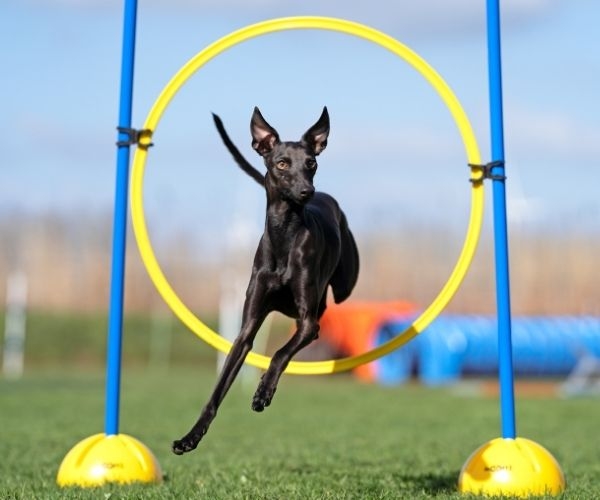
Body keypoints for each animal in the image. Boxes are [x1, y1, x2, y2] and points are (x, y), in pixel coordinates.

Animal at [172, 107, 359, 455]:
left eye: (311, 163)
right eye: (282, 163)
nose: (307, 192)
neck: (285, 233)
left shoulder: (308, 324)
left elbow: (280, 353)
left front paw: (263, 392)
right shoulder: (246, 330)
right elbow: (217, 390)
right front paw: (190, 437)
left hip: (344, 284)